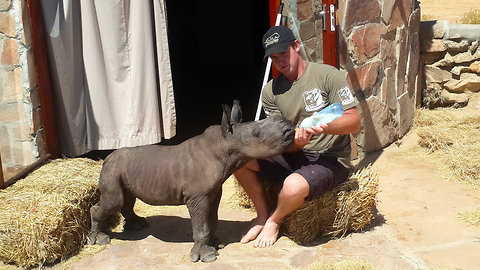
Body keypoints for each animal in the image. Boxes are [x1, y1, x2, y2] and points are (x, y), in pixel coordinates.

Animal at [88, 100, 294, 262]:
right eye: (257, 134)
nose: (289, 127)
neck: (224, 143)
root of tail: (107, 159)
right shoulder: (197, 196)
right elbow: (202, 225)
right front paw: (207, 256)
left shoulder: (213, 191)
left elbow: (212, 220)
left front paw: (216, 244)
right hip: (113, 169)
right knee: (114, 201)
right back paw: (100, 239)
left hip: (124, 170)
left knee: (126, 199)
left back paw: (138, 225)